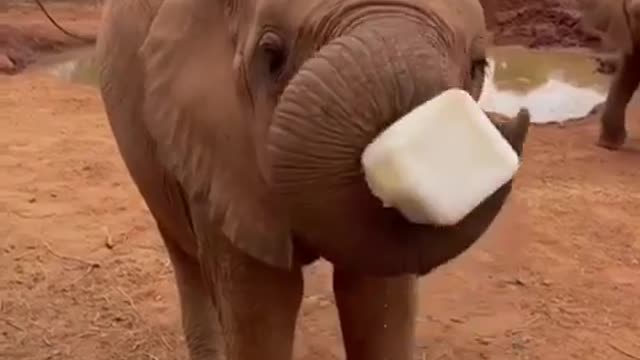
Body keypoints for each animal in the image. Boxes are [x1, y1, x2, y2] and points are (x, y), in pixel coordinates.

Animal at [96, 0, 528, 360]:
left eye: (478, 67)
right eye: (271, 56)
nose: (512, 119)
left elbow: (377, 299)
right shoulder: (211, 144)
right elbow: (265, 303)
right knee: (186, 260)